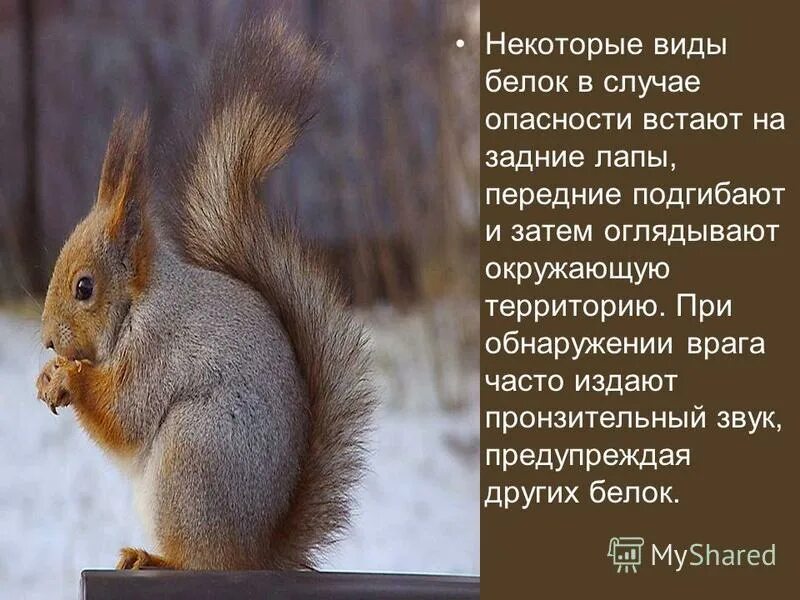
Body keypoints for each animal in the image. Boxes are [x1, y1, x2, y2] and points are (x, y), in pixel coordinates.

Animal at [34, 16, 375, 571]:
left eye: (84, 288)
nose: (46, 340)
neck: (139, 304)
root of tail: (255, 553)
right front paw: (49, 373)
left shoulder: (156, 351)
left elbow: (125, 415)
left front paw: (68, 378)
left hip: (194, 452)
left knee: (198, 559)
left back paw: (154, 559)